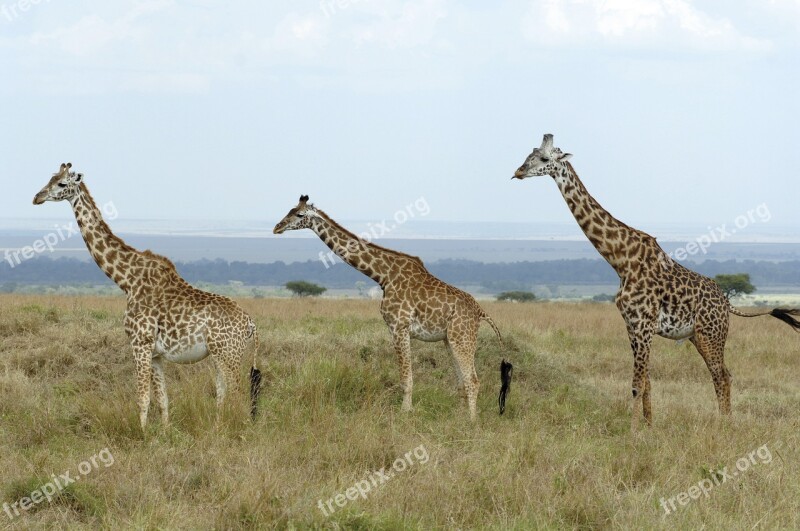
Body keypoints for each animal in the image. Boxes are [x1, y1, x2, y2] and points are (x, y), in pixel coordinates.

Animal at [32, 163, 262, 432]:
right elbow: (162, 399)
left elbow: (142, 398)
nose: (37, 197)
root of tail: (251, 324)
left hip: (229, 354)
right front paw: (164, 432)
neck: (127, 281)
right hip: (220, 355)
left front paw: (142, 435)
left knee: (236, 392)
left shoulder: (139, 343)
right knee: (223, 393)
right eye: (50, 178)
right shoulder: (156, 354)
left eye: (60, 183)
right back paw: (217, 429)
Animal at [274, 195, 512, 420]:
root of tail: (481, 312)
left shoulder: (399, 327)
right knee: (462, 381)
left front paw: (404, 413)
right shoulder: (400, 329)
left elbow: (406, 379)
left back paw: (471, 422)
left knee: (473, 380)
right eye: (290, 210)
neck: (383, 276)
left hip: (462, 338)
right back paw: (458, 418)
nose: (277, 227)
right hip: (450, 340)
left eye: (299, 214)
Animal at [512, 135, 800, 430]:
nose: (518, 172)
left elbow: (637, 384)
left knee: (721, 375)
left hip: (712, 334)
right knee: (724, 374)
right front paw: (649, 427)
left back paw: (724, 426)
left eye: (544, 159)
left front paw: (632, 431)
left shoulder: (644, 326)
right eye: (529, 154)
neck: (620, 260)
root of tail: (726, 302)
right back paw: (725, 423)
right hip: (697, 336)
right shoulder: (632, 326)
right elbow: (647, 383)